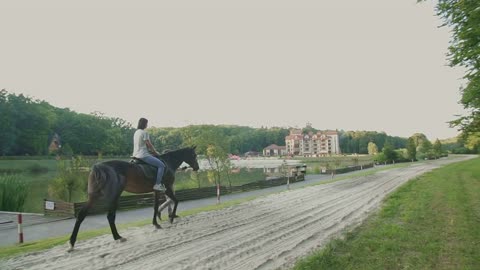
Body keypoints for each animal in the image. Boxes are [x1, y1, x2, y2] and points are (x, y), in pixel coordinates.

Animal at [67, 146, 199, 251]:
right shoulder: (166, 188)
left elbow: (156, 206)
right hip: (112, 196)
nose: (197, 167)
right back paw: (118, 237)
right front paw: (171, 218)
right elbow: (176, 200)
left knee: (82, 214)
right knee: (110, 216)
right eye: (194, 155)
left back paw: (72, 243)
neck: (168, 162)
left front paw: (156, 223)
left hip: (94, 196)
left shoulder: (156, 191)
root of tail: (99, 166)